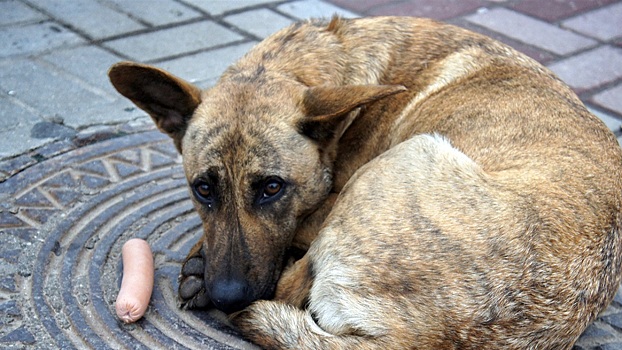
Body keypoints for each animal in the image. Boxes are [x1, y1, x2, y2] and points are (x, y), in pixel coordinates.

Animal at [108, 15, 622, 348]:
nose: (226, 295)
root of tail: (417, 340)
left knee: (291, 285)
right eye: (203, 189)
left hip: (402, 158)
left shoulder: (328, 196)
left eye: (273, 188)